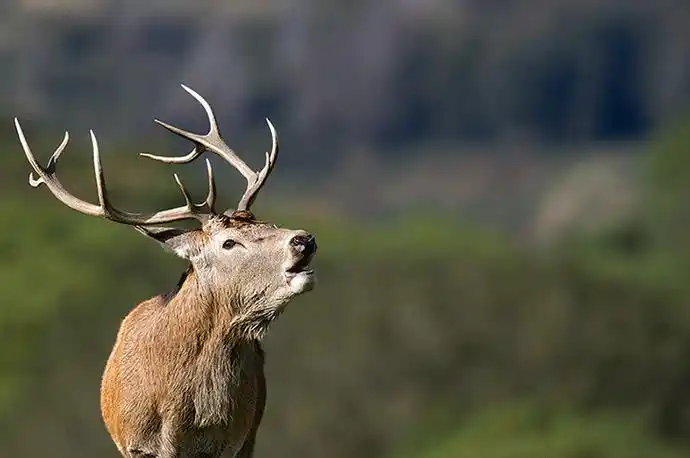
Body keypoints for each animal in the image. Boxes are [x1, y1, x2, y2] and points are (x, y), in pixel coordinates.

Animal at [14, 84, 318, 458]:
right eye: (229, 243)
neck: (181, 416)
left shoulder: (233, 442)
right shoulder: (136, 444)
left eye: (269, 223)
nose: (304, 240)